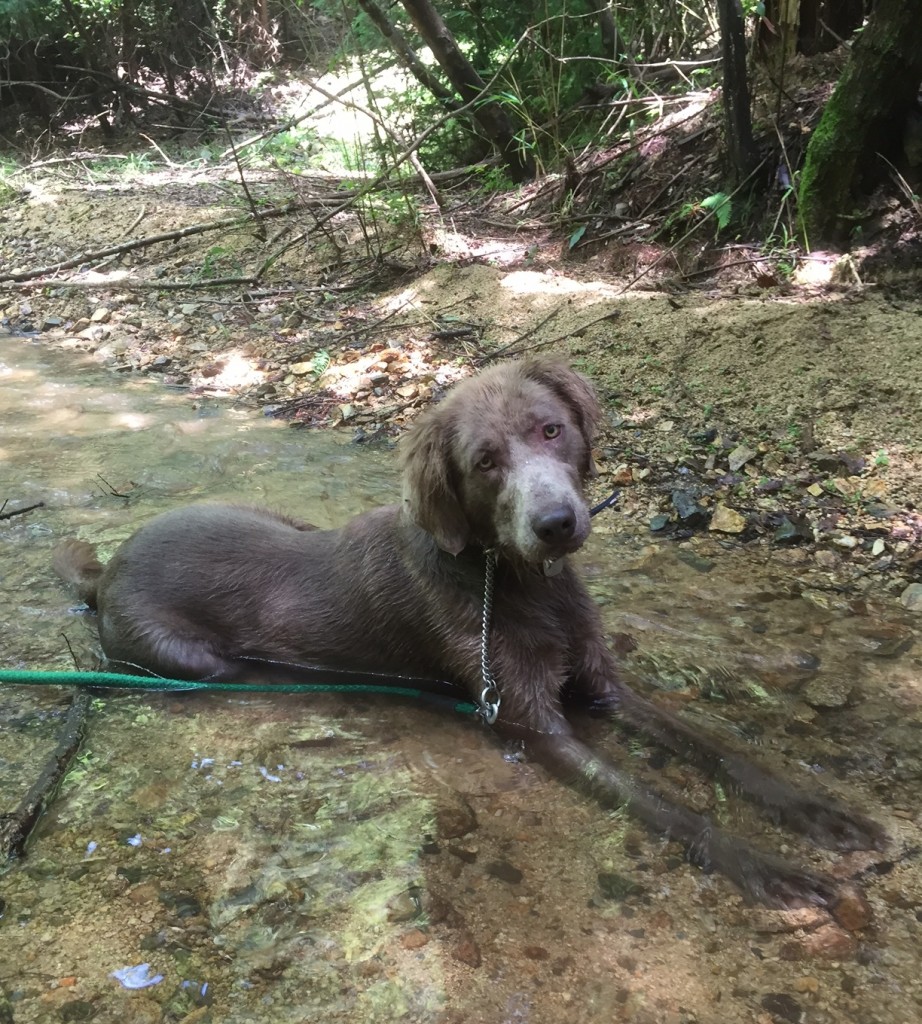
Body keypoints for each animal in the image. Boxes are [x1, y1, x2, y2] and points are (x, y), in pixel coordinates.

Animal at [52, 356, 885, 909]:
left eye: (551, 430)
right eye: (484, 463)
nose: (556, 523)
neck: (520, 585)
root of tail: (108, 571)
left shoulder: (602, 683)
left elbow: (716, 749)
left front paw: (817, 814)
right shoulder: (532, 724)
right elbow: (662, 803)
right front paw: (769, 868)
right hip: (189, 656)